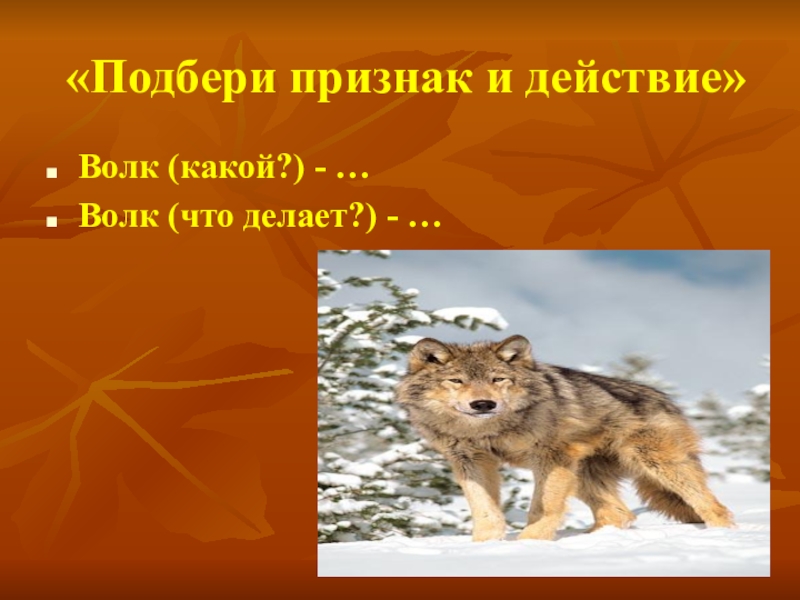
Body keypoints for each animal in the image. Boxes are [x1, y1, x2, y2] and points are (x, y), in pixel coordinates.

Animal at [396, 335, 734, 542]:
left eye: (498, 379)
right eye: (456, 381)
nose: (483, 404)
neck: (490, 430)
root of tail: (666, 399)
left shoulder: (551, 457)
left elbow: (542, 506)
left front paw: (529, 543)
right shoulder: (471, 461)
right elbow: (485, 510)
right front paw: (486, 546)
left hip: (657, 464)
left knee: (712, 505)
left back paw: (724, 534)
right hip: (583, 474)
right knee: (619, 513)